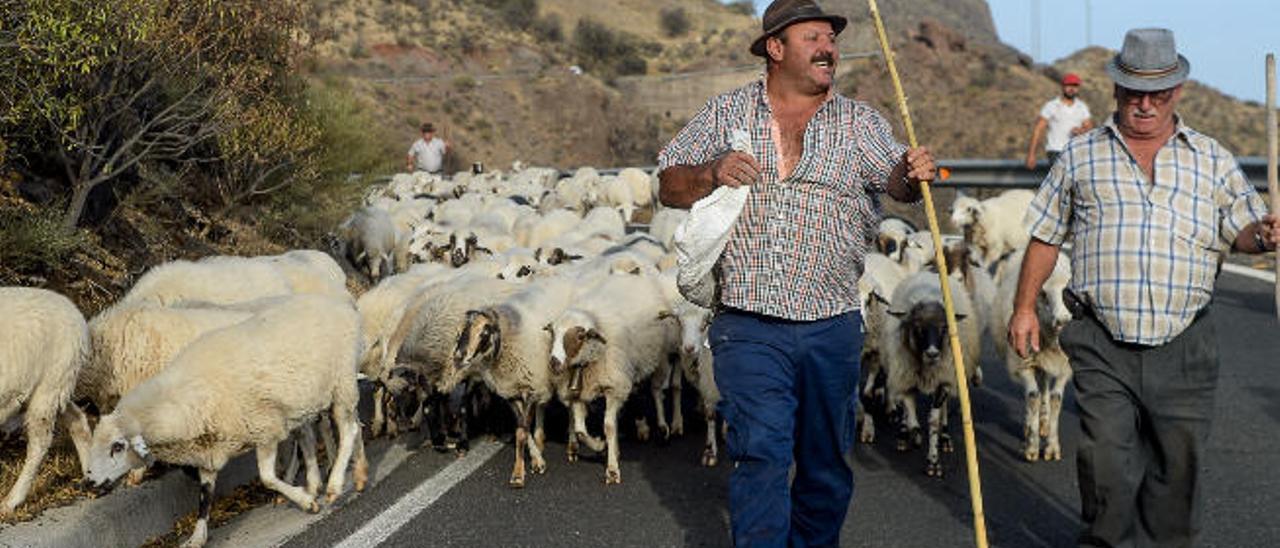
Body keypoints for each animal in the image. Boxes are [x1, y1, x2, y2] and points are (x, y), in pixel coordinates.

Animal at [0, 289, 91, 514]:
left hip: (50, 385)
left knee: (39, 443)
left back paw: (11, 501)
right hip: (57, 387)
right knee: (78, 420)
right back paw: (91, 476)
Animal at [84, 295, 366, 548]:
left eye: (118, 446)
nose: (88, 483)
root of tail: (342, 302)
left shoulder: (265, 429)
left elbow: (267, 477)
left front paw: (306, 500)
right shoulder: (208, 451)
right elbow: (204, 497)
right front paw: (197, 537)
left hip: (341, 383)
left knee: (349, 430)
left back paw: (334, 484)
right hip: (313, 401)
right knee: (334, 431)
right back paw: (354, 475)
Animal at [993, 250, 1075, 460]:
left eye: (1067, 292)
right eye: (1043, 294)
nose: (1063, 320)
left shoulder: (1065, 368)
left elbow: (1056, 399)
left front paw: (1052, 446)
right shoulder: (1023, 364)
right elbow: (1032, 397)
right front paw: (1032, 446)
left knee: (1044, 384)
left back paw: (1043, 422)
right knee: (1035, 393)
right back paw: (1030, 425)